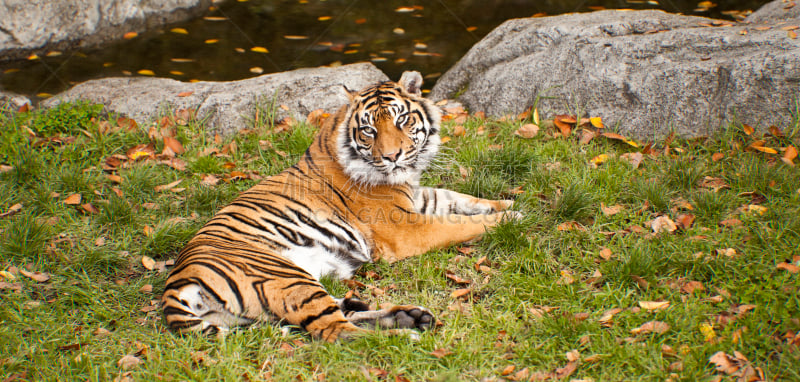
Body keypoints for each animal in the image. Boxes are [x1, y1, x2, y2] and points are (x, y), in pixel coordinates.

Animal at [162, 71, 520, 340]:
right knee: (335, 331)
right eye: (369, 130)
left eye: (401, 121)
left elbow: (457, 198)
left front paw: (509, 204)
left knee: (342, 312)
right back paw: (403, 334)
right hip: (285, 276)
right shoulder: (405, 228)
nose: (392, 156)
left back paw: (406, 315)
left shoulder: (416, 199)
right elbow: (460, 223)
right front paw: (510, 219)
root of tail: (176, 284)